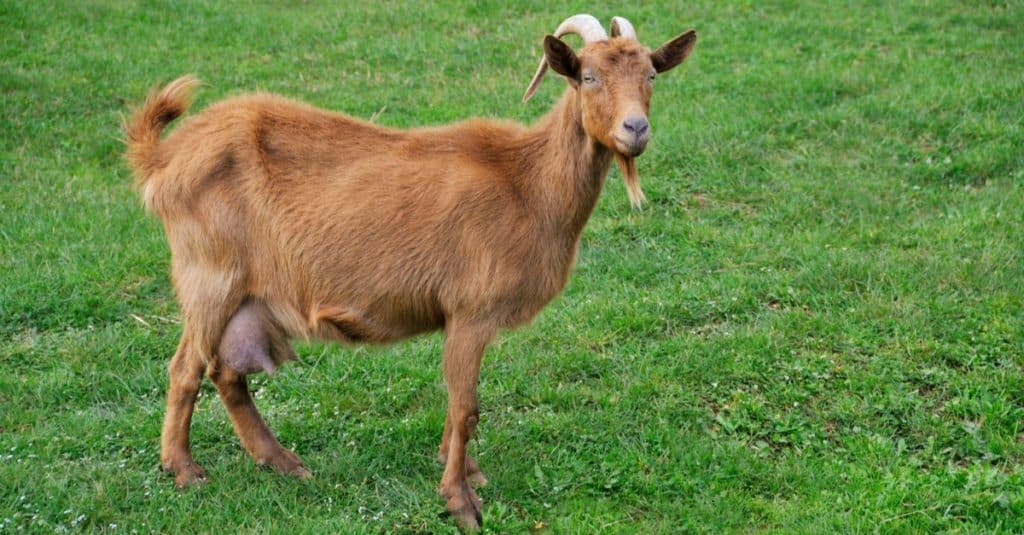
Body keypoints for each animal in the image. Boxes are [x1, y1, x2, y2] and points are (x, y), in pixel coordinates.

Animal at [121, 14, 696, 524]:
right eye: (588, 76)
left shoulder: (459, 318)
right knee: (185, 369)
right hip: (208, 277)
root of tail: (165, 158)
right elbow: (466, 406)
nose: (636, 129)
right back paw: (185, 470)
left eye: (650, 74)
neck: (527, 182)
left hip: (242, 294)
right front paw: (460, 502)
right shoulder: (471, 311)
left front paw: (464, 470)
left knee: (226, 373)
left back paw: (282, 463)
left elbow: (461, 404)